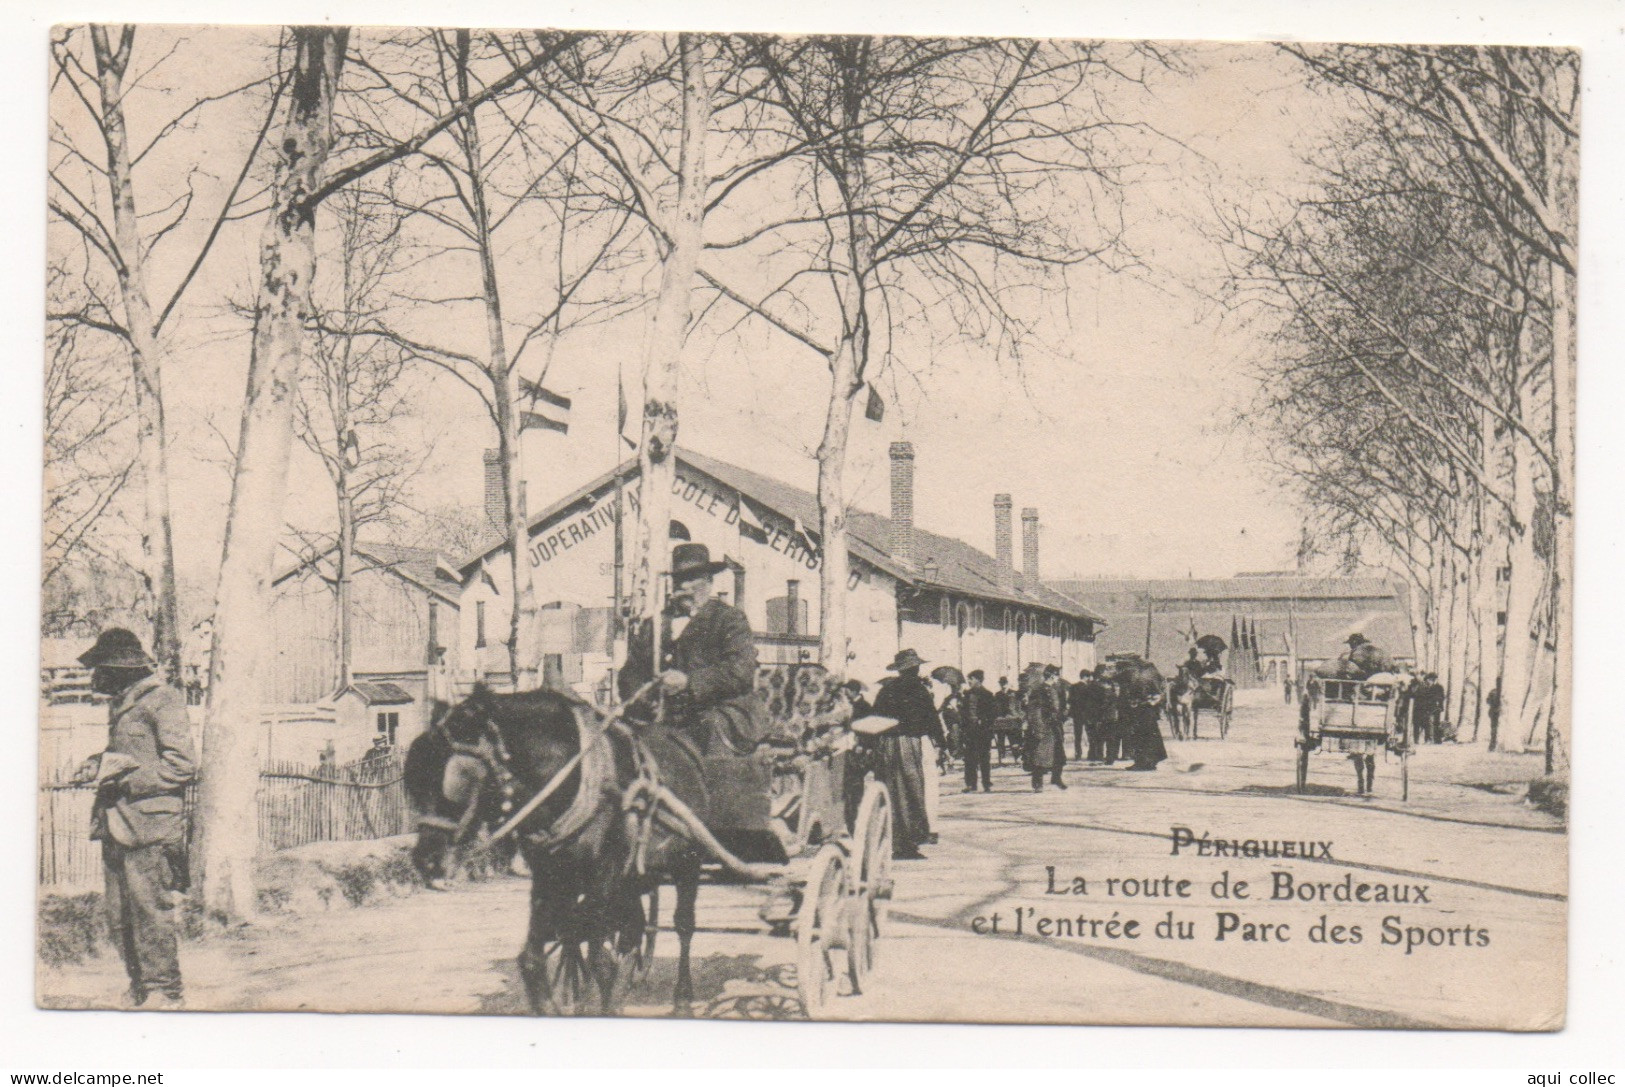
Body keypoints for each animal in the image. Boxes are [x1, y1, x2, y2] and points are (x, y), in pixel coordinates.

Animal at [404, 685, 705, 1020]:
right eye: (413, 780)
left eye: (458, 779)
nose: (426, 860)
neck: (573, 779)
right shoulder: (550, 876)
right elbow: (534, 958)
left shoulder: (604, 877)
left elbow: (601, 962)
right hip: (632, 879)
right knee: (632, 929)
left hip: (687, 862)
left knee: (683, 926)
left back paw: (682, 998)